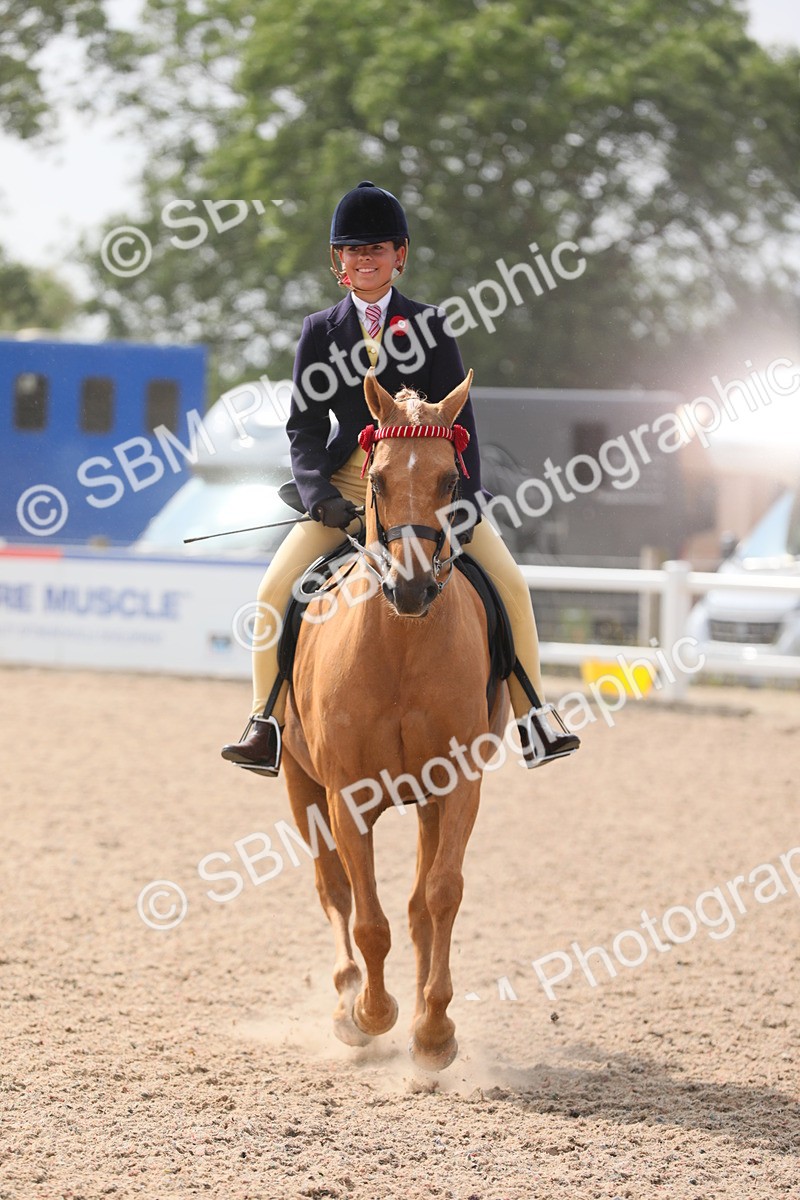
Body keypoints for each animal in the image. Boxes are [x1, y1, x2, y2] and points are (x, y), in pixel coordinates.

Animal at [281, 367, 510, 1071]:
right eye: (378, 480)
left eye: (450, 482)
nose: (410, 590)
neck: (402, 643)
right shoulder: (346, 797)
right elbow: (367, 918)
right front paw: (373, 1014)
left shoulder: (458, 787)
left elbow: (440, 896)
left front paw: (433, 1033)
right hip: (300, 785)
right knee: (333, 890)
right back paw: (345, 1006)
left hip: (425, 803)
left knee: (416, 904)